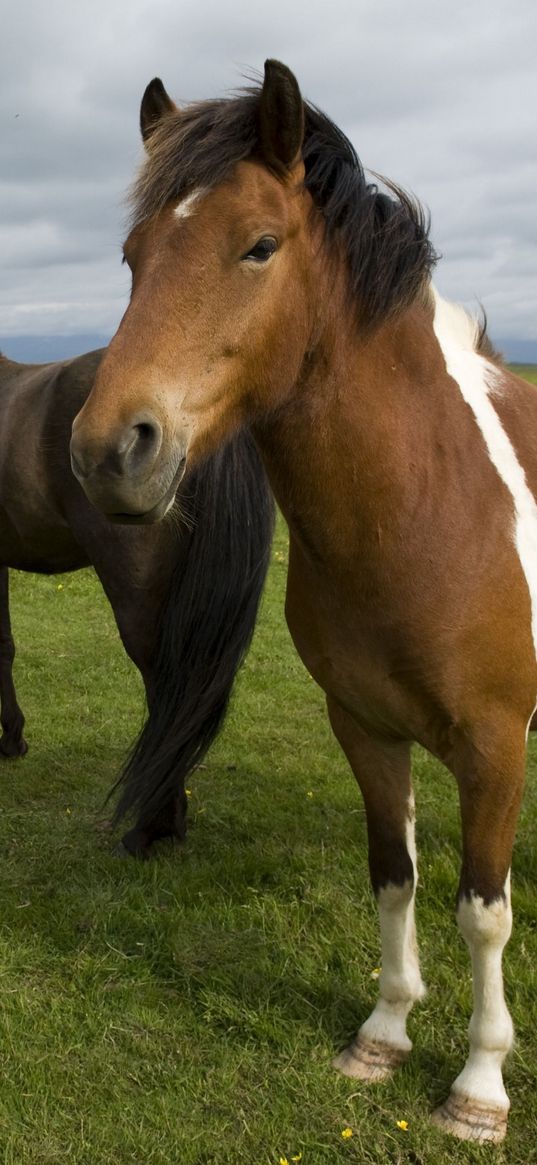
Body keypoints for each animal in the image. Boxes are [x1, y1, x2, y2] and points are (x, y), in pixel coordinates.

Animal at [69, 61, 533, 1137]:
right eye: (133, 255)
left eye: (259, 245)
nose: (111, 450)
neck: (428, 507)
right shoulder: (363, 726)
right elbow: (394, 876)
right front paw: (383, 1034)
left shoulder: (495, 744)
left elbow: (482, 910)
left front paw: (478, 1085)